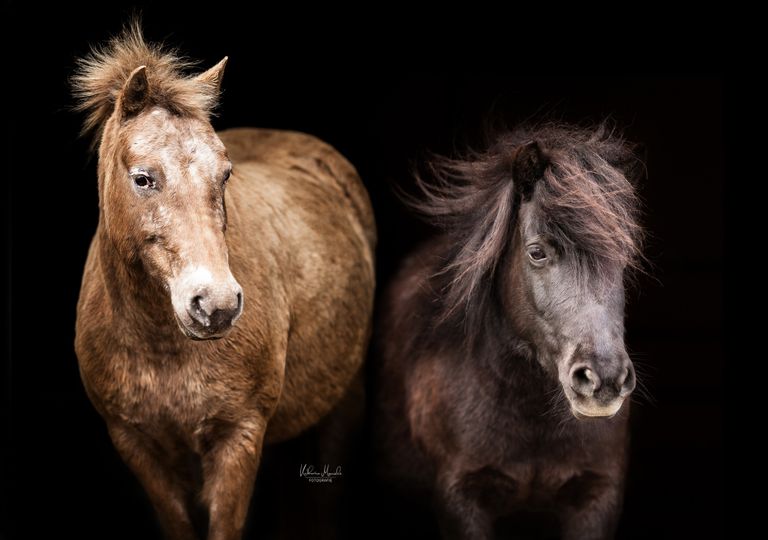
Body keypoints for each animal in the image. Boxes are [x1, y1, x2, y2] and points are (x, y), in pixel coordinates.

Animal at [72, 27, 376, 540]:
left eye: (226, 173)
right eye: (143, 178)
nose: (215, 305)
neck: (159, 345)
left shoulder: (239, 436)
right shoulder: (138, 444)